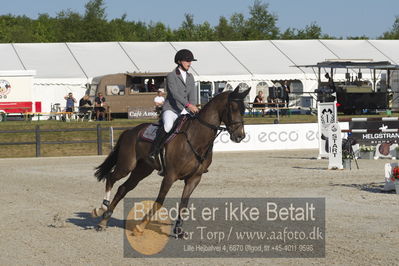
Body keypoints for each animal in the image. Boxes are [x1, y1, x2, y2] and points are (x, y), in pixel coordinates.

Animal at [92, 86, 252, 234]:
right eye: (232, 108)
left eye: (244, 109)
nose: (240, 136)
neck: (196, 138)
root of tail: (130, 131)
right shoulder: (170, 175)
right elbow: (159, 201)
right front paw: (141, 226)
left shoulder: (194, 178)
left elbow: (184, 203)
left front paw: (179, 230)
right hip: (126, 165)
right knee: (111, 178)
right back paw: (101, 209)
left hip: (142, 170)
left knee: (123, 188)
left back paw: (104, 219)